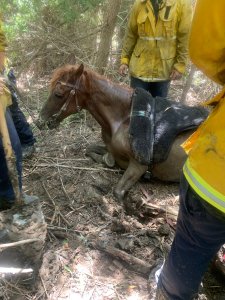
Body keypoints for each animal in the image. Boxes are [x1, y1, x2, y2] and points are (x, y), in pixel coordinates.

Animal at [38, 63, 206, 199]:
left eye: (58, 94)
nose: (40, 121)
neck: (124, 118)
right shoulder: (111, 148)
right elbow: (90, 149)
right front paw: (108, 160)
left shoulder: (139, 166)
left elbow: (118, 192)